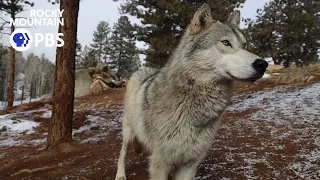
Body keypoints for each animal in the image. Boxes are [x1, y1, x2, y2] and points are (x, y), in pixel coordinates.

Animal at [115, 3, 268, 179]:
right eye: (226, 43)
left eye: (245, 45)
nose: (263, 64)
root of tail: (141, 70)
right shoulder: (160, 163)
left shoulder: (191, 163)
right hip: (128, 133)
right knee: (122, 153)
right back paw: (120, 174)